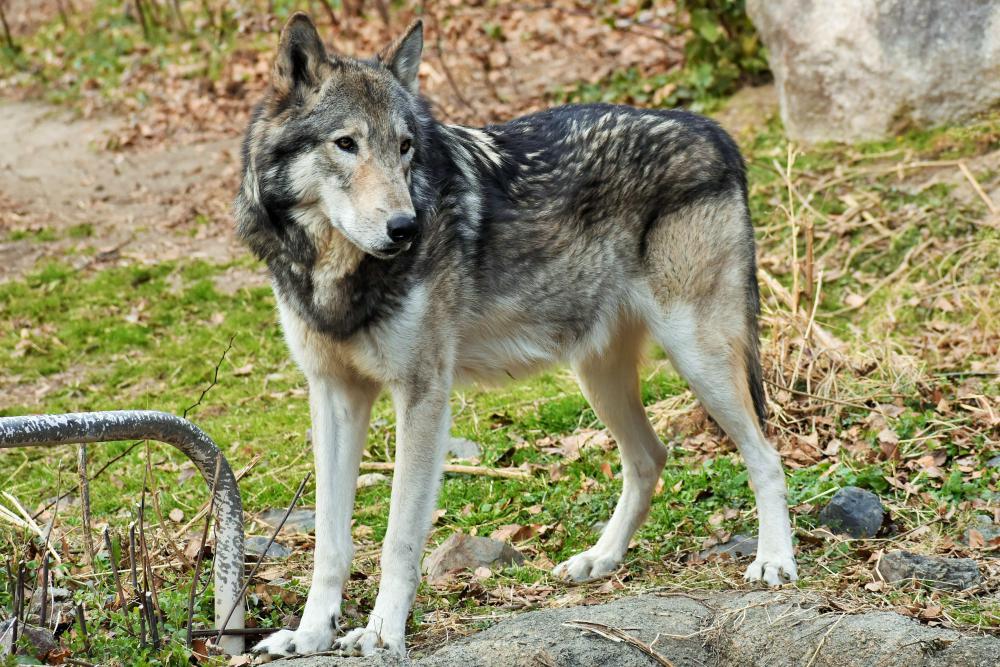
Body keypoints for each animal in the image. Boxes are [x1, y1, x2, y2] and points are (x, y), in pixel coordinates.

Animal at [236, 13, 796, 660]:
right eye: (345, 144)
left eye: (404, 147)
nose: (406, 228)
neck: (335, 273)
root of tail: (714, 130)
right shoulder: (333, 395)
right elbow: (330, 539)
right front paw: (309, 635)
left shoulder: (422, 394)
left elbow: (399, 538)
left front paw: (381, 634)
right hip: (598, 374)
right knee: (650, 458)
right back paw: (600, 560)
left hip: (697, 356)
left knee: (765, 454)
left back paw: (775, 561)